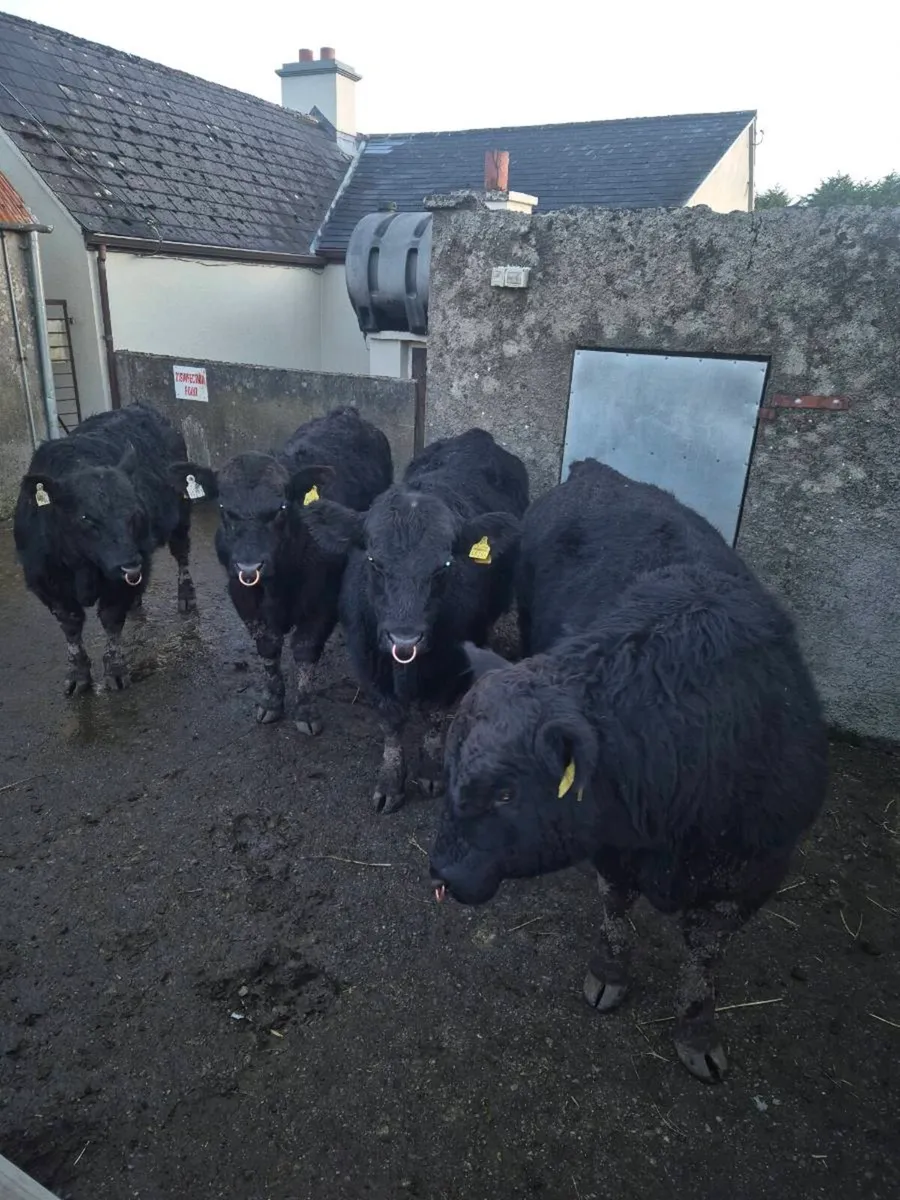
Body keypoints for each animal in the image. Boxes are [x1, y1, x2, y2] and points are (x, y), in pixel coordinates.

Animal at [13, 403, 198, 695]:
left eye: (135, 512)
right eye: (86, 518)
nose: (130, 563)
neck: (82, 566)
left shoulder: (126, 574)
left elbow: (111, 618)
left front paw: (115, 671)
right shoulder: (45, 580)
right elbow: (71, 625)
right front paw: (78, 675)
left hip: (181, 514)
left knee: (181, 554)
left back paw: (186, 596)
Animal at [171, 406, 392, 732]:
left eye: (281, 509)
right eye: (224, 509)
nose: (250, 564)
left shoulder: (324, 597)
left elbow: (305, 649)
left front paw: (305, 710)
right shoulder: (241, 594)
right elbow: (267, 647)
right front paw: (271, 701)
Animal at [304, 428, 529, 813]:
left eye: (445, 565)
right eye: (374, 561)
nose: (404, 639)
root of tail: (478, 436)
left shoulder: (452, 668)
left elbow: (434, 716)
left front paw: (430, 772)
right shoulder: (368, 660)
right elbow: (391, 722)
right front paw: (391, 782)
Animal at [429, 459, 828, 1082]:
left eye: (506, 794)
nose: (442, 871)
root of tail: (597, 470)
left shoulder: (754, 875)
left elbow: (704, 959)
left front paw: (697, 1029)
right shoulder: (612, 848)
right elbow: (616, 910)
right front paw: (610, 973)